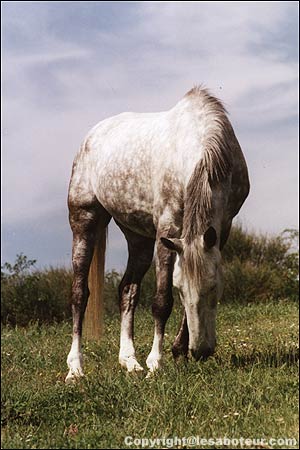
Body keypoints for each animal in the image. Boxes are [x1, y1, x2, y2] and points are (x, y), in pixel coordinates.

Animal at [66, 86, 251, 382]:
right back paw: (75, 368)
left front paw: (178, 351)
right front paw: (156, 362)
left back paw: (129, 361)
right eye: (180, 291)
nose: (202, 351)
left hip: (138, 237)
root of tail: (92, 136)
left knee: (127, 290)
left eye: (214, 287)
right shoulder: (168, 229)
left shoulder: (221, 228)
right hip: (84, 221)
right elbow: (162, 301)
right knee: (79, 294)